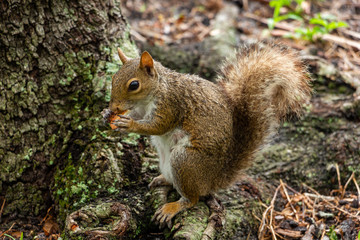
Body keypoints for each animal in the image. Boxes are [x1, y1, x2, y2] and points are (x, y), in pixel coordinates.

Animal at [107, 42, 312, 228]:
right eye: (113, 77)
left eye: (134, 85)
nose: (114, 107)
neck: (157, 89)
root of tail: (214, 179)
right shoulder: (143, 109)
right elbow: (139, 116)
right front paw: (107, 115)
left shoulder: (171, 104)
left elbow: (158, 126)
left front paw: (128, 124)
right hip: (167, 160)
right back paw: (162, 179)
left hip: (185, 161)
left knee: (193, 199)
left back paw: (172, 207)